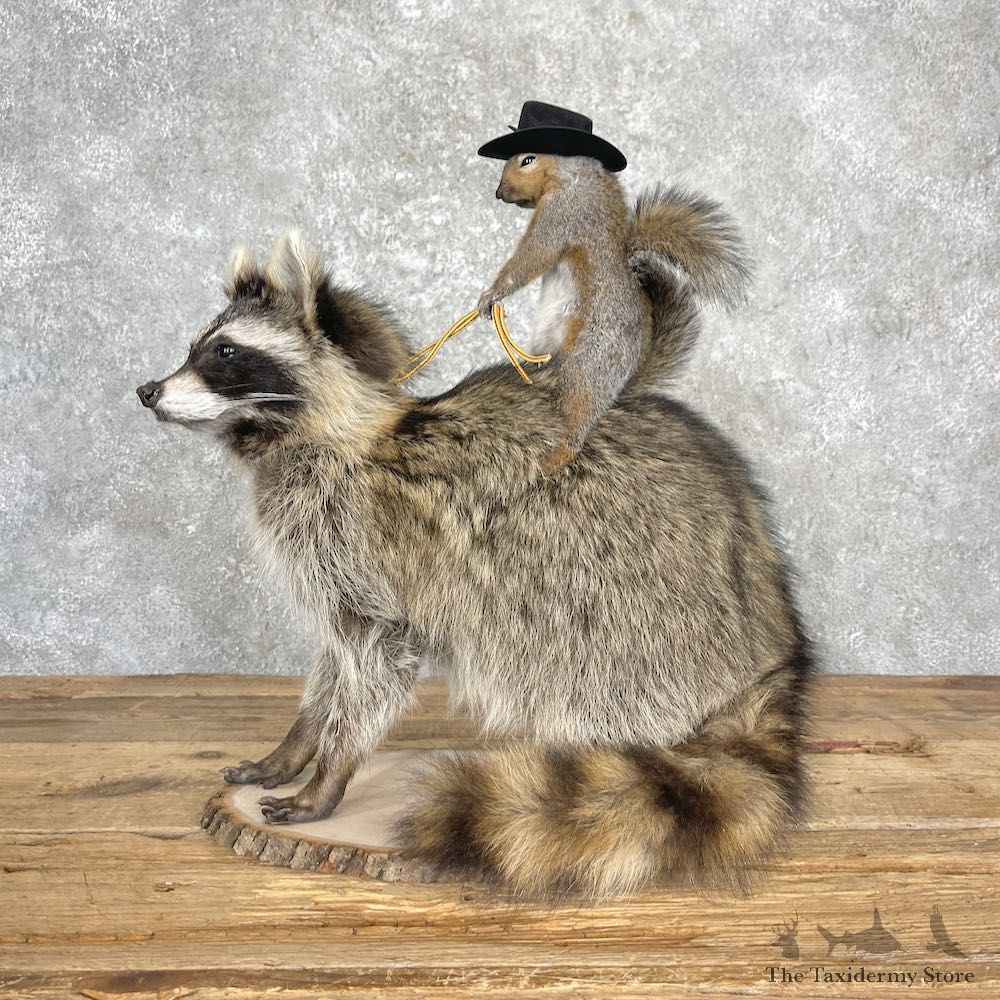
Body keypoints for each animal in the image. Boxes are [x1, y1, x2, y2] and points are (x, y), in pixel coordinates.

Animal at [137, 187, 812, 898]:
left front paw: (332, 768)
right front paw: (298, 741)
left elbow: (378, 656)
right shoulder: (329, 558)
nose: (147, 391)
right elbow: (336, 660)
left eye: (225, 354)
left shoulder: (357, 534)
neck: (315, 433)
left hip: (621, 593)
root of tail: (764, 650)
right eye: (197, 348)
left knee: (566, 649)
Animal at [477, 152, 650, 474]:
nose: (498, 192)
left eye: (525, 160)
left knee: (576, 422)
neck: (568, 174)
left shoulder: (564, 213)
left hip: (587, 364)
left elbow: (532, 257)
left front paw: (491, 295)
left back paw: (550, 460)